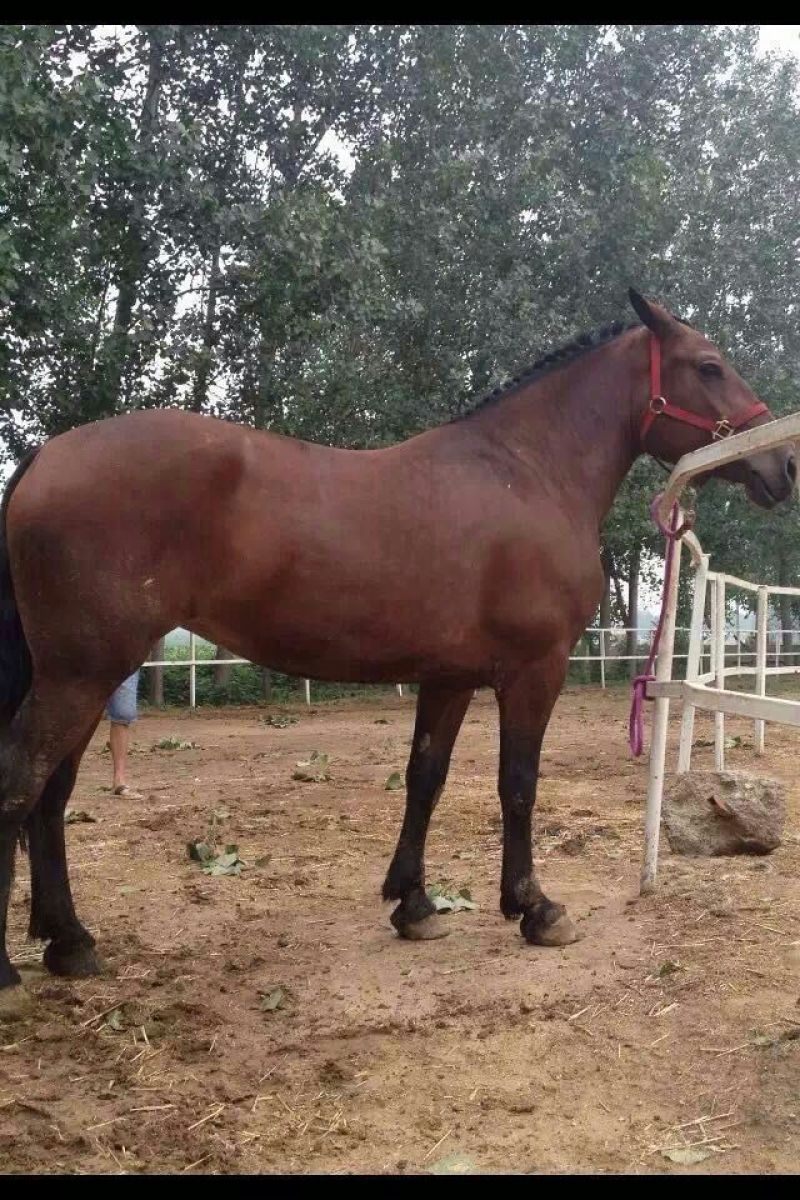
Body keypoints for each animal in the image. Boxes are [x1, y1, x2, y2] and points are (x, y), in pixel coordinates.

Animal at [0, 290, 794, 994]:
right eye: (709, 365)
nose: (780, 468)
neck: (527, 473)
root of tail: (48, 455)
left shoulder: (447, 677)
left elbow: (425, 780)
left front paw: (413, 905)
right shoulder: (533, 672)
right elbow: (518, 784)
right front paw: (535, 908)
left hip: (86, 672)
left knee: (52, 795)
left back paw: (69, 941)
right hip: (83, 672)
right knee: (21, 782)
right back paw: (16, 965)